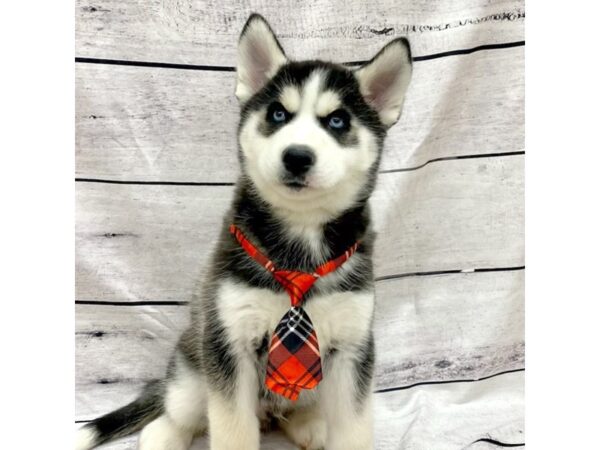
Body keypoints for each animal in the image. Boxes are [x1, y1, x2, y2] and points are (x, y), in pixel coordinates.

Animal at [76, 14, 412, 450]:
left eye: (338, 120)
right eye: (278, 114)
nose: (297, 156)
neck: (299, 240)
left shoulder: (352, 348)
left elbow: (353, 429)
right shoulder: (229, 344)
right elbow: (232, 428)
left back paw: (308, 424)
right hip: (193, 372)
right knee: (176, 413)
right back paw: (164, 435)